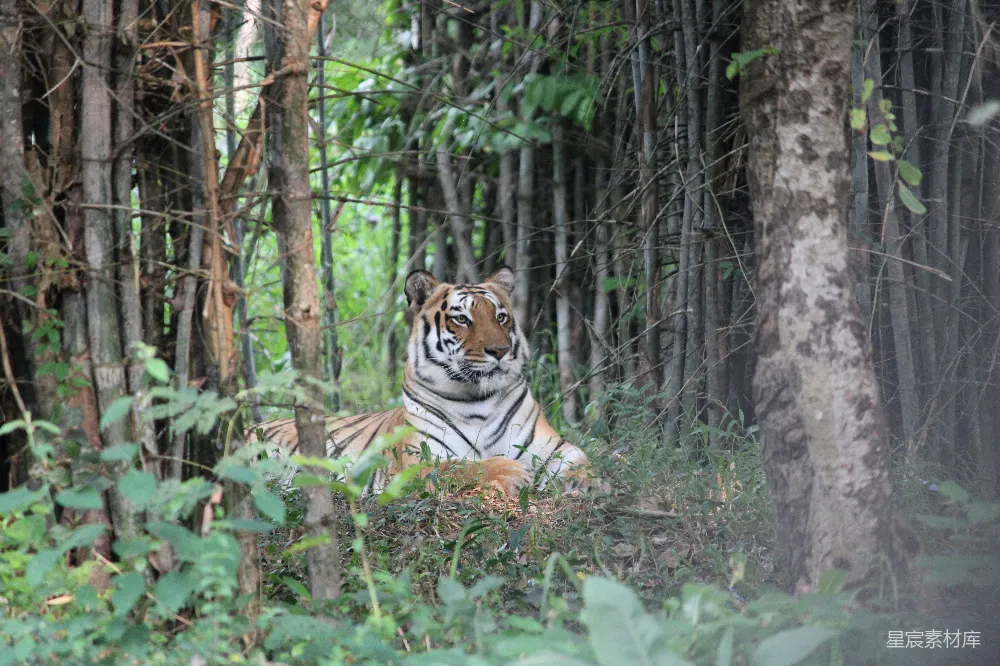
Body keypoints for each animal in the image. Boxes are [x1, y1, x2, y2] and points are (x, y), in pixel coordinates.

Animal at [248, 266, 592, 496]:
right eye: (462, 319)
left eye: (501, 317)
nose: (500, 351)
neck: (478, 400)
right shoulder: (419, 462)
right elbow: (465, 465)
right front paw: (510, 471)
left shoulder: (551, 444)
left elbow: (579, 459)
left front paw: (587, 483)